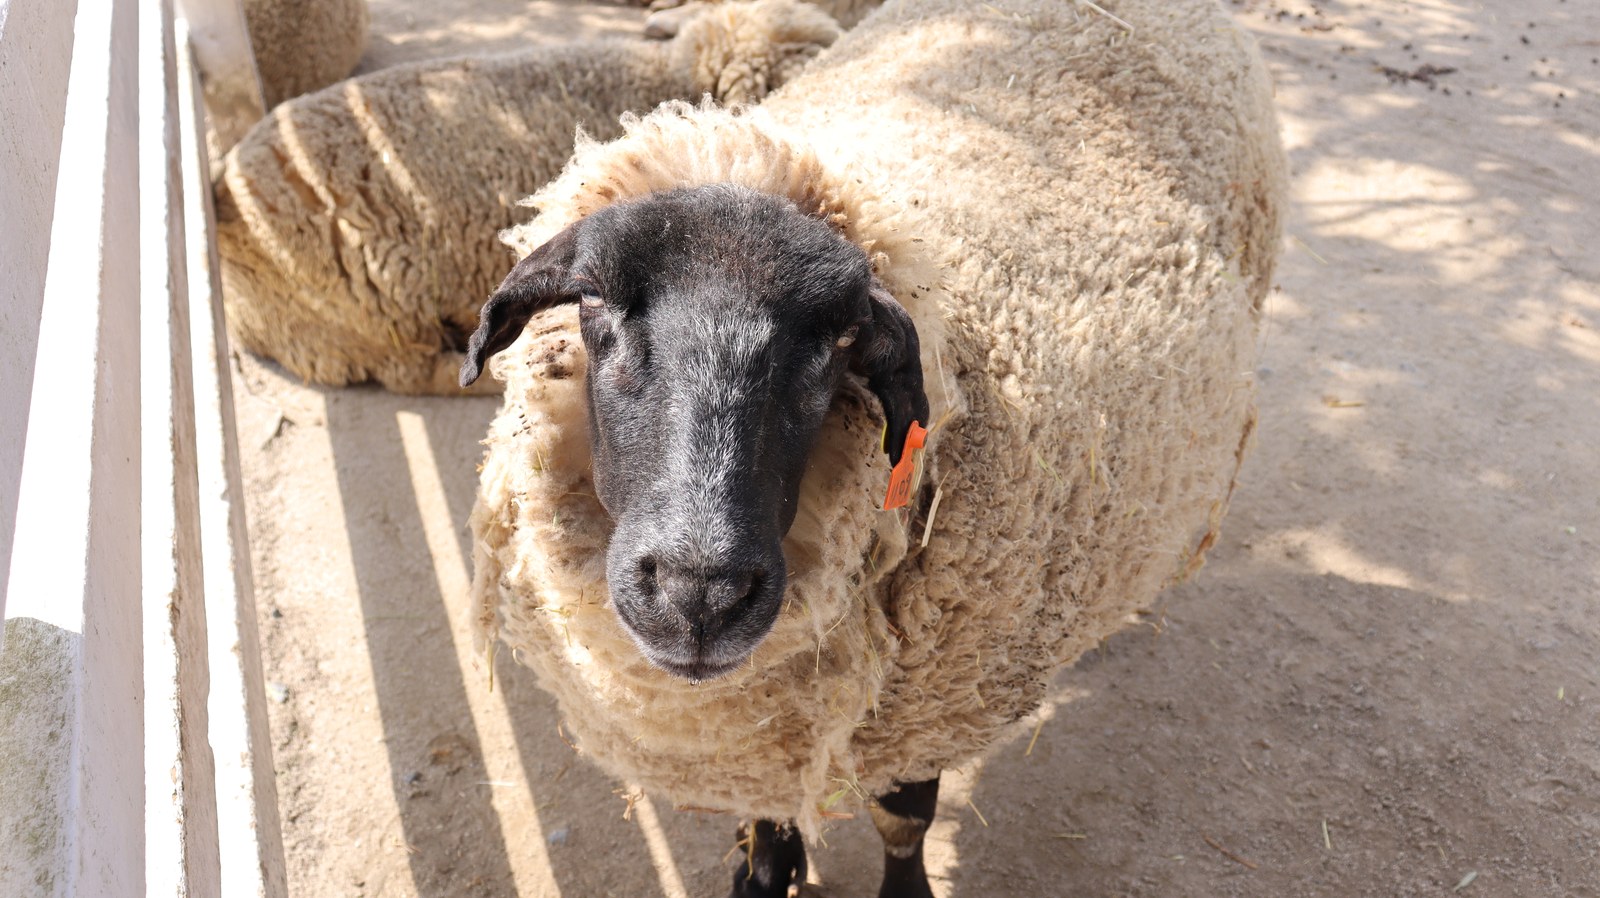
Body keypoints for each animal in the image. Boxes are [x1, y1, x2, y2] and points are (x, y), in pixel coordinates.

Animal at [462, 0, 1286, 894]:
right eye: (593, 304)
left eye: (839, 342)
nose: (698, 594)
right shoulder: (772, 747)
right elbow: (775, 805)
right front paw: (765, 865)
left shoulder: (930, 703)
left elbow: (904, 819)